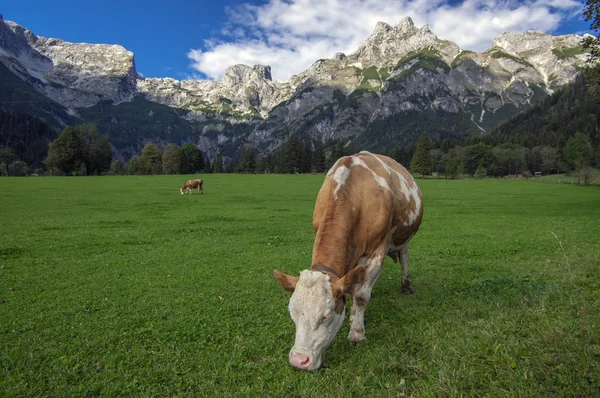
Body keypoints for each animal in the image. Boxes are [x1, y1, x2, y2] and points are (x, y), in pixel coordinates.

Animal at [274, 150, 424, 370]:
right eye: (291, 312)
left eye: (326, 315)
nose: (298, 360)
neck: (354, 194)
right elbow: (353, 287)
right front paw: (355, 316)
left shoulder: (377, 251)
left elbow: (361, 296)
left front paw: (357, 333)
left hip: (404, 236)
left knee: (404, 258)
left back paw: (406, 286)